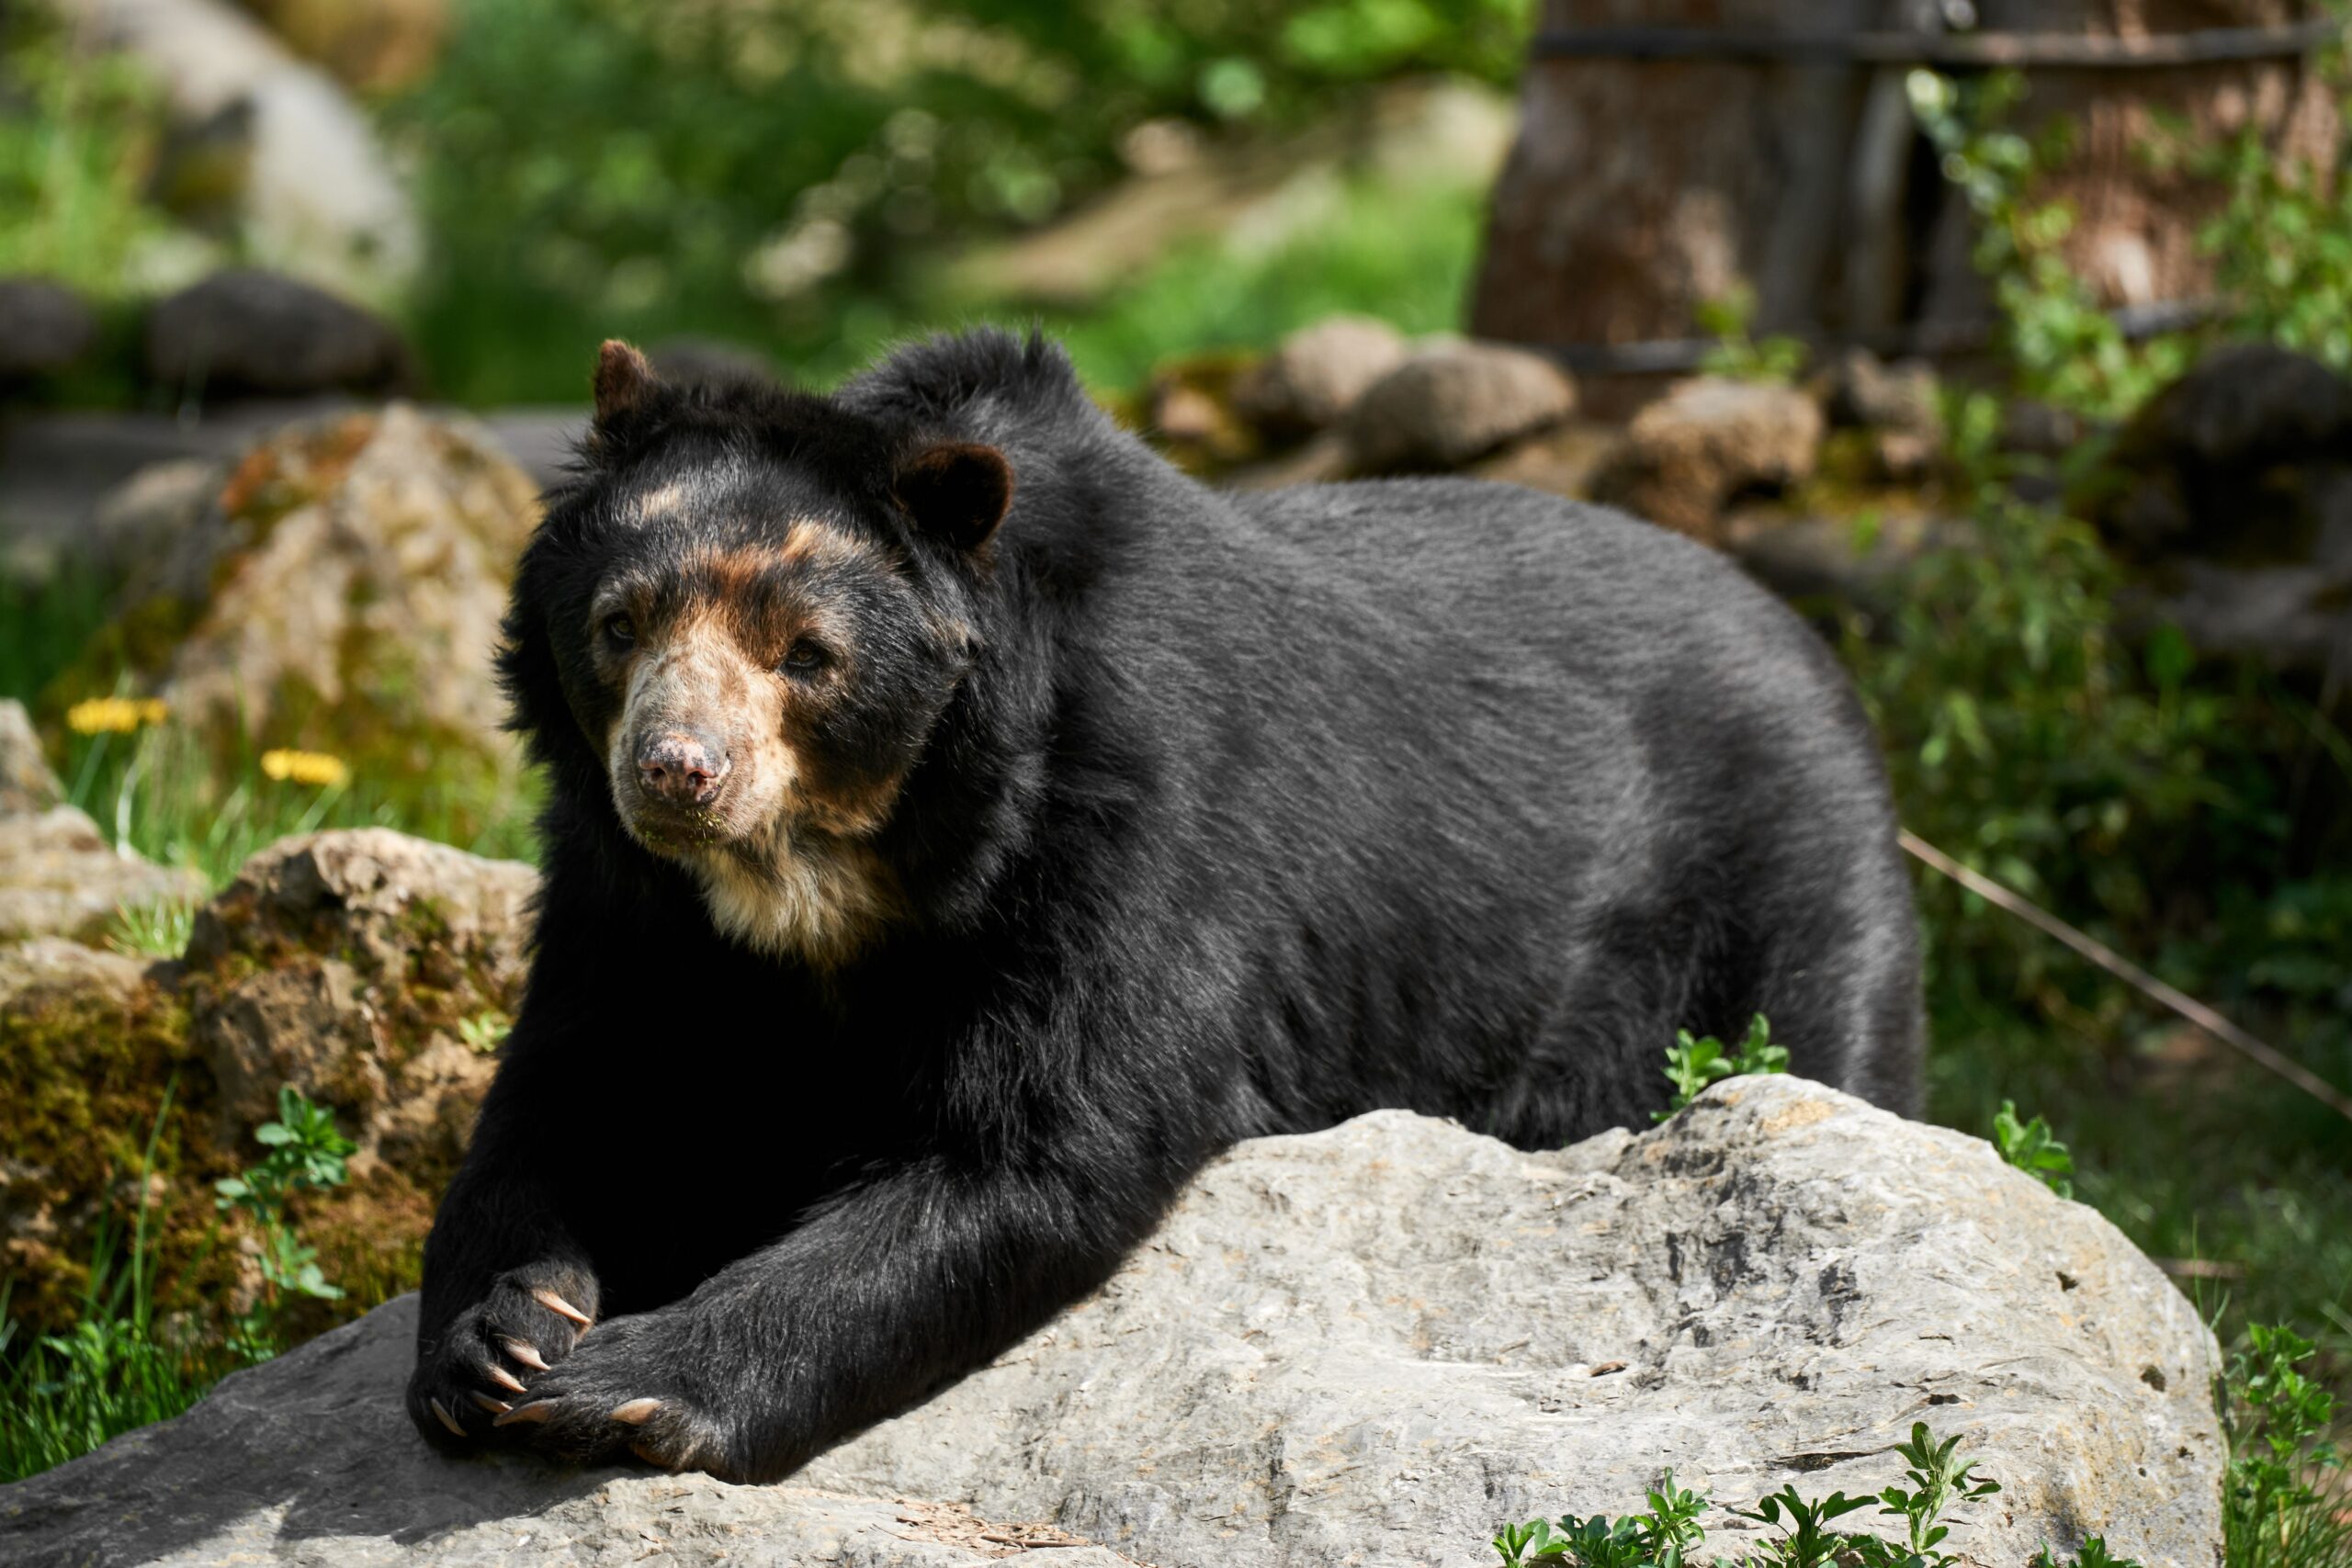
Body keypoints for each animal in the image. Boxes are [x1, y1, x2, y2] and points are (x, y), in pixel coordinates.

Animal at [407, 329, 1921, 1481]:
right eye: (620, 623)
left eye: (808, 654)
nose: (677, 770)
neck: (837, 860)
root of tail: (1804, 635)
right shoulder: (626, 893)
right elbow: (573, 1089)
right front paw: (498, 1342)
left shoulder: (1132, 806)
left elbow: (1041, 1141)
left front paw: (622, 1383)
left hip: (1788, 880)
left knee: (1825, 1049)